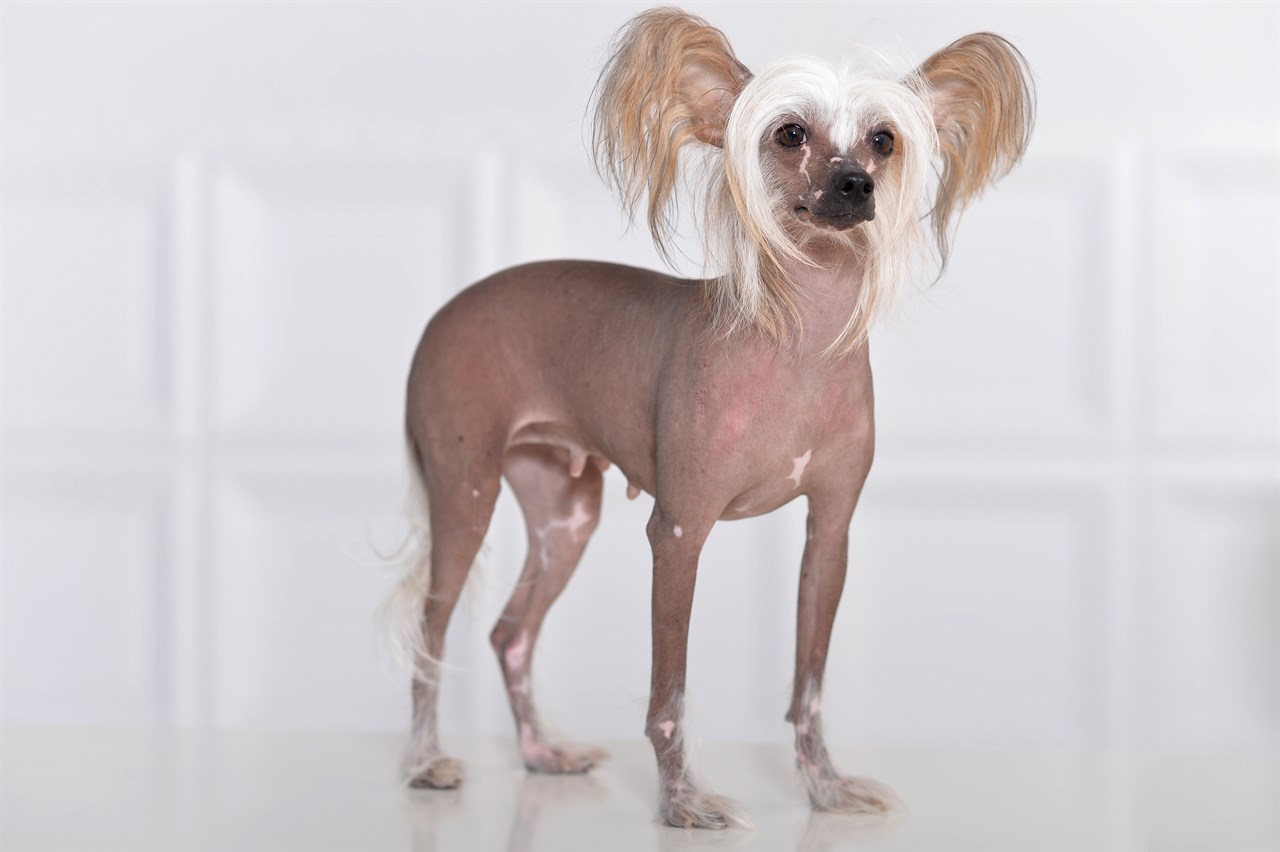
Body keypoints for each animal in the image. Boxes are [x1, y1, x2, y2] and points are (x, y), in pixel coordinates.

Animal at [384, 6, 1034, 828]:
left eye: (884, 139)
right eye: (790, 133)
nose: (855, 183)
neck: (801, 346)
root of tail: (449, 308)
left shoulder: (830, 534)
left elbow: (809, 686)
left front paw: (825, 788)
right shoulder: (679, 532)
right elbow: (671, 691)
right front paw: (682, 801)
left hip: (564, 512)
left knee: (510, 632)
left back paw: (540, 753)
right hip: (464, 491)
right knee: (430, 631)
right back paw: (425, 762)